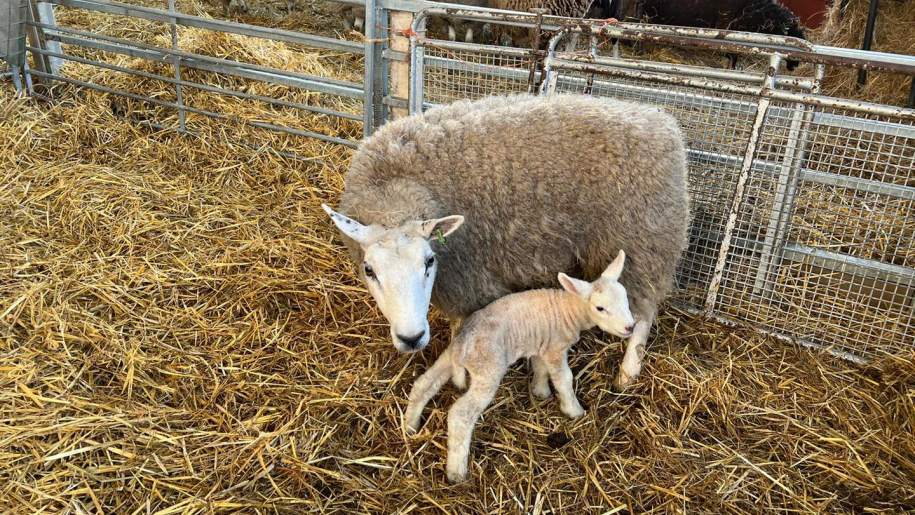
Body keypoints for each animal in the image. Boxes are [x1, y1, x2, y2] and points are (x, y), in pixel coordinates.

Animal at [326, 92, 692, 392]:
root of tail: (661, 121)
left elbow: (462, 329)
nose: (411, 338)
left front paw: (459, 375)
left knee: (644, 313)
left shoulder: (469, 277)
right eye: (369, 270)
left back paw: (628, 372)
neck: (396, 187)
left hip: (646, 242)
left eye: (429, 261)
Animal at [404, 252, 632, 482]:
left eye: (626, 298)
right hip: (487, 369)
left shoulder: (542, 344)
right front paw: (573, 410)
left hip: (450, 356)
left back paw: (410, 426)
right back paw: (456, 472)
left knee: (424, 384)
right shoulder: (555, 349)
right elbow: (564, 379)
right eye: (600, 308)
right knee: (461, 415)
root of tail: (462, 347)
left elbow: (540, 368)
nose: (630, 327)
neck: (570, 309)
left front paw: (540, 391)